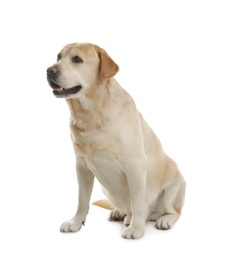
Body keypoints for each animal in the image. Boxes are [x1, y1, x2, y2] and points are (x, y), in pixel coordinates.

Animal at [45, 42, 185, 240]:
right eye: (58, 57)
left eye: (77, 59)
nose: (49, 70)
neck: (91, 115)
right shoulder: (82, 167)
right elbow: (82, 200)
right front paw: (75, 223)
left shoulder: (134, 166)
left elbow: (137, 202)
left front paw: (136, 229)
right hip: (107, 190)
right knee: (128, 208)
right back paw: (121, 213)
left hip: (174, 186)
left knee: (173, 211)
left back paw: (161, 219)